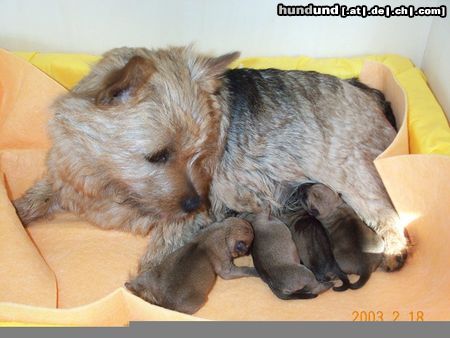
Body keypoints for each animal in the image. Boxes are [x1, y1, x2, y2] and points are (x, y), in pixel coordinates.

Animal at [125, 217, 256, 314]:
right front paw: (254, 270)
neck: (224, 230)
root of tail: (162, 303)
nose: (248, 252)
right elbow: (243, 270)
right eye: (248, 246)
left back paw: (129, 285)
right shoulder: (226, 268)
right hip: (199, 301)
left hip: (148, 275)